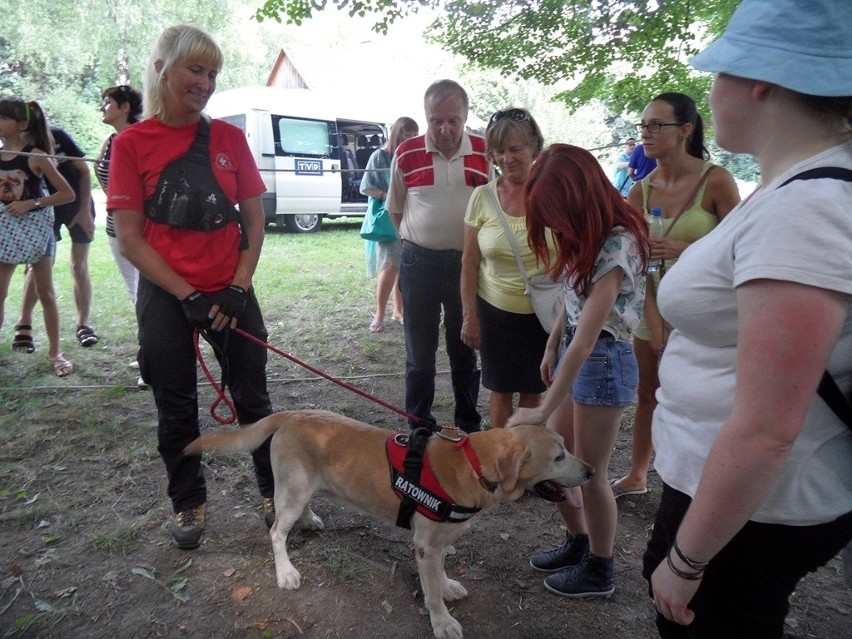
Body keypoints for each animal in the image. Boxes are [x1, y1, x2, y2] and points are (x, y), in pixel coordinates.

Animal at [186, 412, 592, 636]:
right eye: (558, 457)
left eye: (566, 448)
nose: (590, 471)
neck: (474, 464)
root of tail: (291, 414)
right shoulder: (426, 545)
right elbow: (430, 592)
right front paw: (442, 621)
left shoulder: (436, 542)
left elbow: (439, 576)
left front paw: (447, 586)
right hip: (293, 490)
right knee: (276, 533)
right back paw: (285, 571)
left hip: (302, 487)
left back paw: (310, 519)